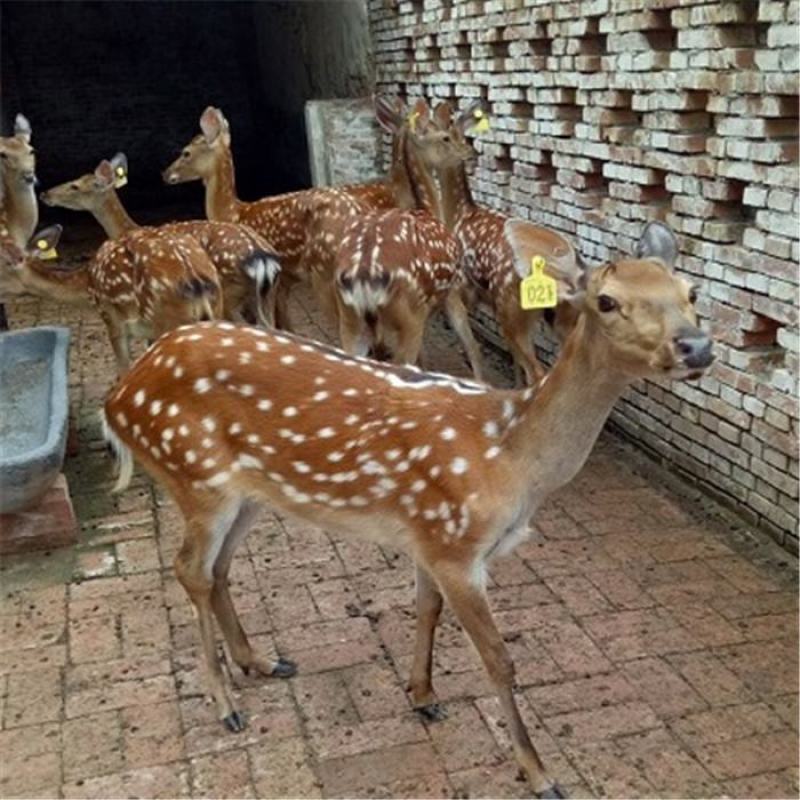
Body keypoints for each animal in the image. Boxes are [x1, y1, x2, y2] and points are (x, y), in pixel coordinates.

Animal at [40, 155, 281, 327]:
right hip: (265, 296)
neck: (127, 229)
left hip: (230, 295)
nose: (45, 194)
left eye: (75, 186)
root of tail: (262, 256)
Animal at [101, 220, 713, 799]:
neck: (511, 455)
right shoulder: (457, 545)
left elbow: (425, 609)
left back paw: (262, 661)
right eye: (606, 301)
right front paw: (539, 773)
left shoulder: (427, 532)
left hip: (248, 491)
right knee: (189, 569)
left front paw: (421, 693)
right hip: (193, 474)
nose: (697, 348)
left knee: (218, 569)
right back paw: (225, 702)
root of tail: (118, 397)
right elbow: (498, 658)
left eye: (690, 291)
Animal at [334, 103, 485, 377]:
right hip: (408, 316)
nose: (470, 151)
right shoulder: (451, 289)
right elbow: (469, 342)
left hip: (350, 322)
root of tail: (363, 278)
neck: (427, 208)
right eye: (445, 136)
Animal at [433, 101, 583, 385]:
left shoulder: (460, 290)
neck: (459, 214)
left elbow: (472, 347)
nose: (468, 153)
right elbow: (511, 360)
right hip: (559, 315)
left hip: (511, 307)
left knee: (538, 371)